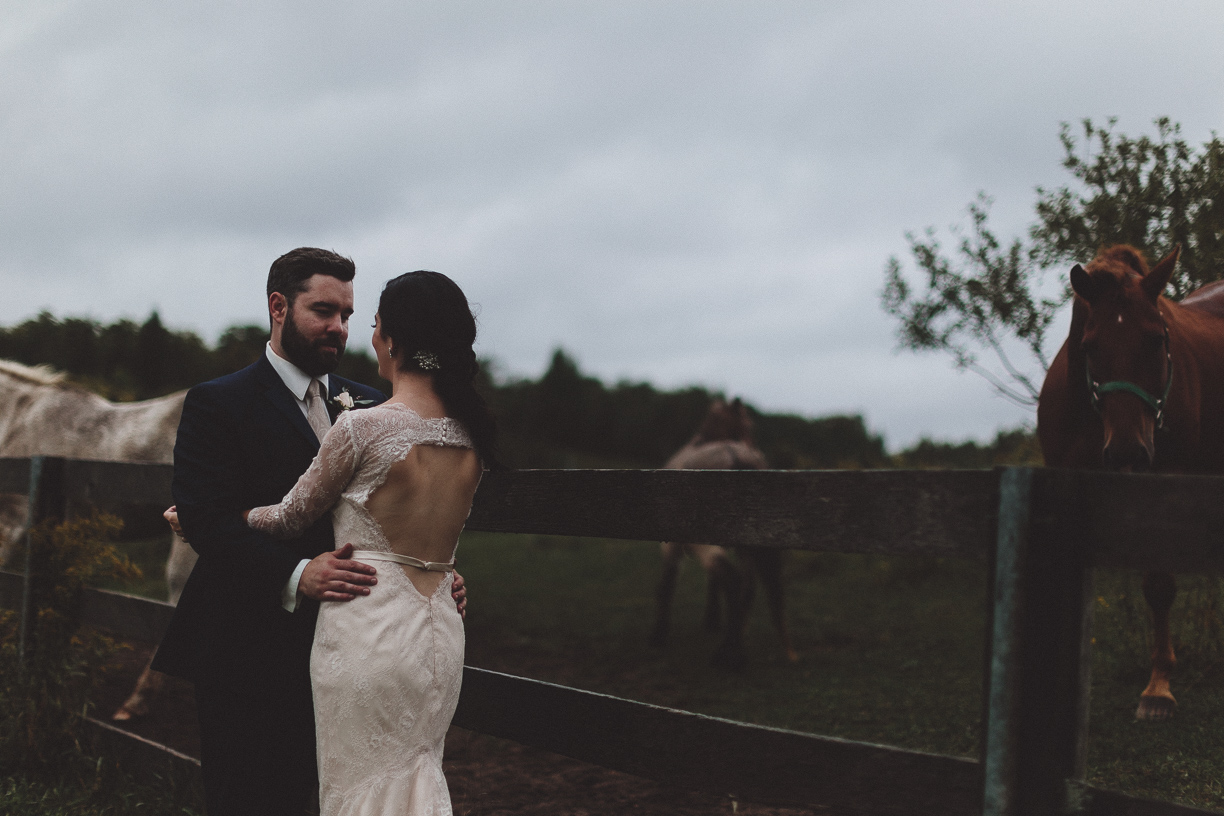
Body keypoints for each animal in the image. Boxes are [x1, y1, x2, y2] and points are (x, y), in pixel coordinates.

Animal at [646, 398, 798, 675]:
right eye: (750, 425)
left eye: (711, 418)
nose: (698, 439)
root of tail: (736, 455)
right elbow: (713, 583)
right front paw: (713, 619)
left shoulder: (671, 546)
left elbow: (666, 584)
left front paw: (658, 635)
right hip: (747, 545)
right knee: (746, 587)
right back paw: (731, 647)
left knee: (733, 579)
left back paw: (729, 655)